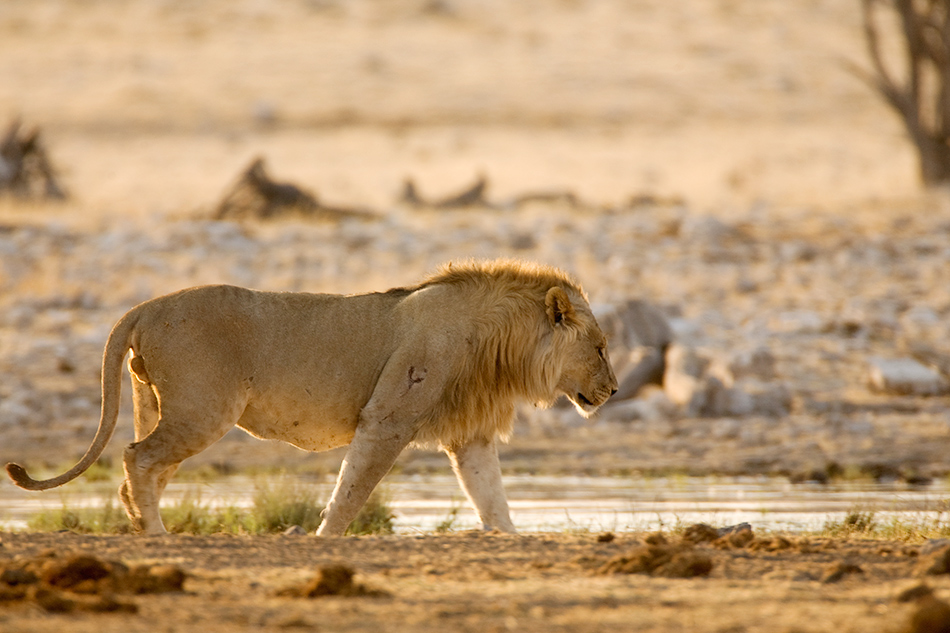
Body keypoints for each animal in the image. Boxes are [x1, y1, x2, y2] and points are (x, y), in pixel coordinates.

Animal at [7, 260, 620, 536]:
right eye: (600, 346)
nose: (614, 390)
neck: (498, 345)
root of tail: (145, 307)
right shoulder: (387, 418)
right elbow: (351, 490)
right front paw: (325, 539)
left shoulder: (469, 436)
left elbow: (492, 498)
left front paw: (512, 540)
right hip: (202, 411)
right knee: (138, 459)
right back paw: (157, 536)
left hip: (155, 404)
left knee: (143, 467)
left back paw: (143, 526)